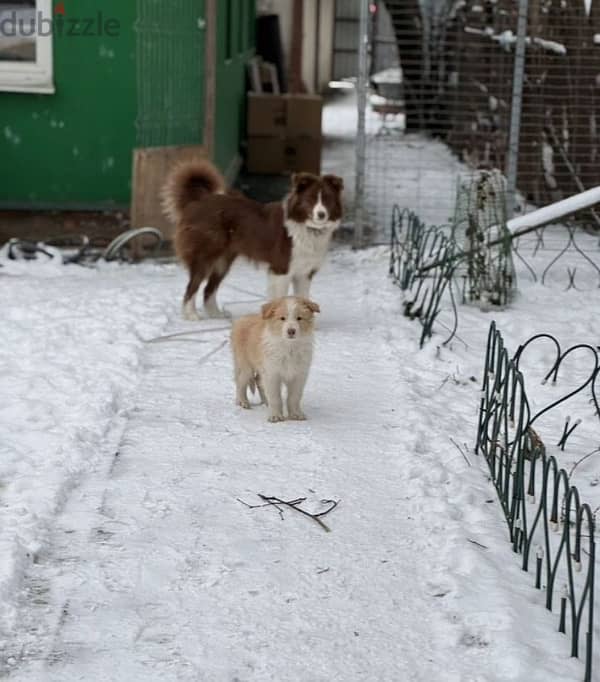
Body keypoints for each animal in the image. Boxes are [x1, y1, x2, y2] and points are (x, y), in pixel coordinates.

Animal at [162, 159, 344, 318]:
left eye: (327, 199)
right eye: (310, 199)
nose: (321, 215)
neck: (307, 227)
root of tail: (197, 201)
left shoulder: (304, 273)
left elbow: (303, 298)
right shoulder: (281, 270)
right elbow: (281, 299)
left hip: (222, 262)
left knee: (208, 288)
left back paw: (215, 314)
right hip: (205, 257)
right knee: (191, 287)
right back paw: (191, 315)